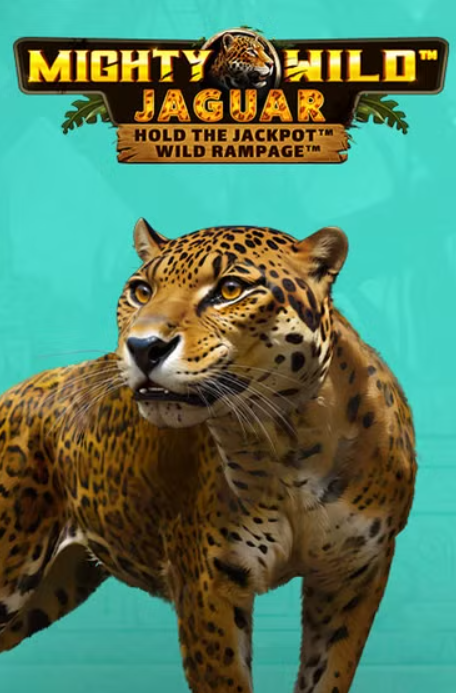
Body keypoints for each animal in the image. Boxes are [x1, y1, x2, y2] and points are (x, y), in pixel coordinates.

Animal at [0, 219, 416, 693]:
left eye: (230, 289)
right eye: (141, 290)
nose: (143, 347)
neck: (289, 446)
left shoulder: (354, 574)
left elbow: (327, 674)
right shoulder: (207, 583)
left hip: (54, 587)